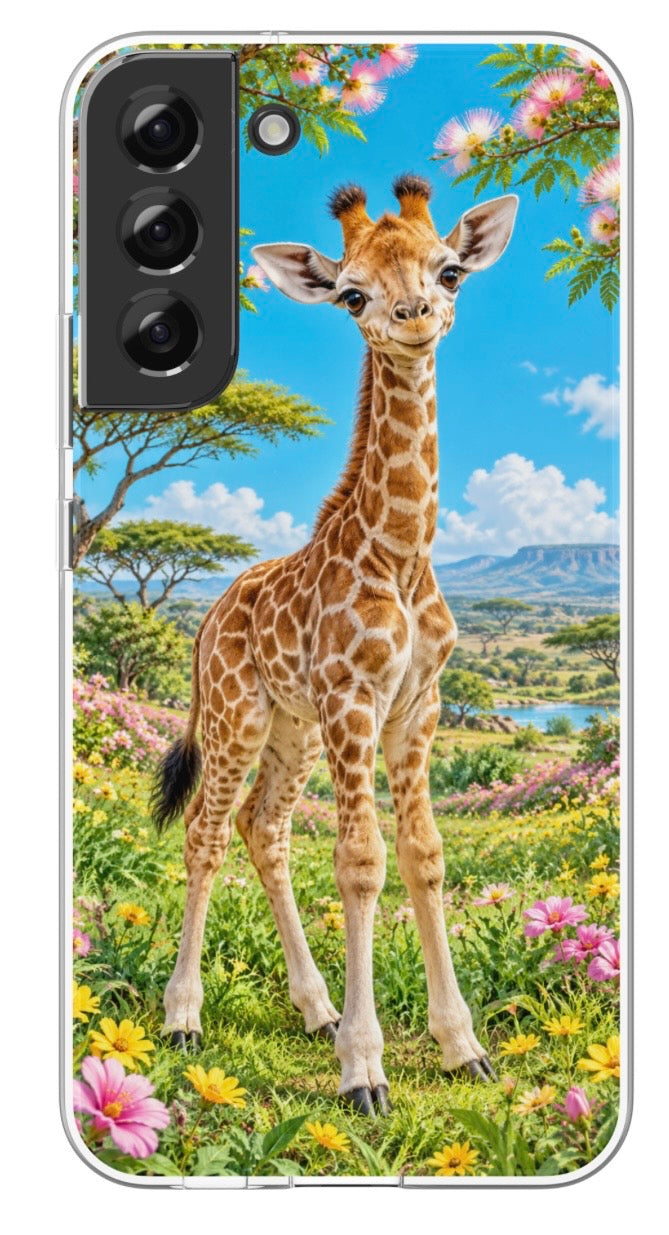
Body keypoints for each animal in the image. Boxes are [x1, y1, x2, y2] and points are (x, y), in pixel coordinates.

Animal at [153, 175, 518, 1115]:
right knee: (206, 832)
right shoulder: (355, 699)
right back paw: (183, 1017)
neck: (400, 551)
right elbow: (360, 862)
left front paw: (461, 1046)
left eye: (450, 269)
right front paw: (364, 1069)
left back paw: (313, 1006)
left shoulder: (415, 707)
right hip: (237, 716)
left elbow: (423, 856)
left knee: (264, 826)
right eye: (351, 293)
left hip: (294, 729)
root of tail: (208, 614)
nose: (414, 314)